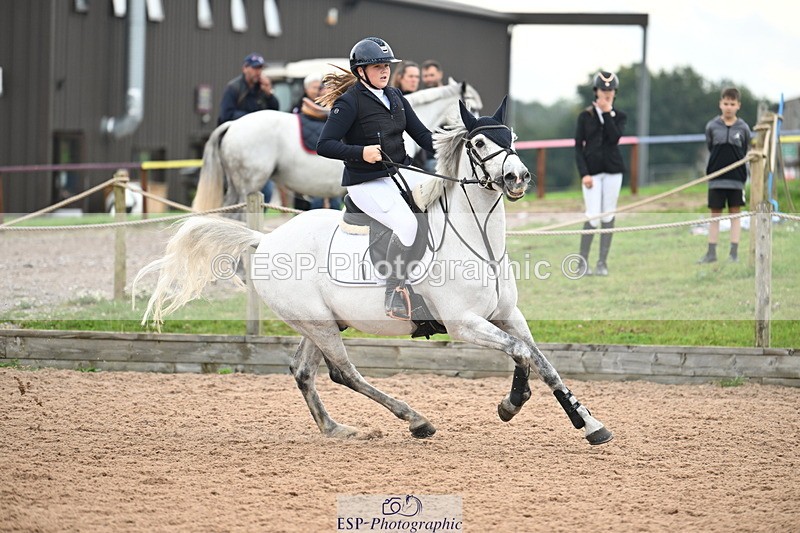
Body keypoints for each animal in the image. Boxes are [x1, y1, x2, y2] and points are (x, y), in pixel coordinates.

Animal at [134, 97, 613, 446]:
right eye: (479, 144)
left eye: (511, 137)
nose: (518, 177)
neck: (479, 242)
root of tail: (264, 240)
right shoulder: (465, 323)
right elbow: (521, 354)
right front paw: (512, 403)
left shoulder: (508, 315)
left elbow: (542, 360)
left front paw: (589, 425)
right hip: (319, 324)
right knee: (343, 372)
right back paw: (416, 421)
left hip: (321, 323)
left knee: (304, 370)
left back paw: (337, 429)